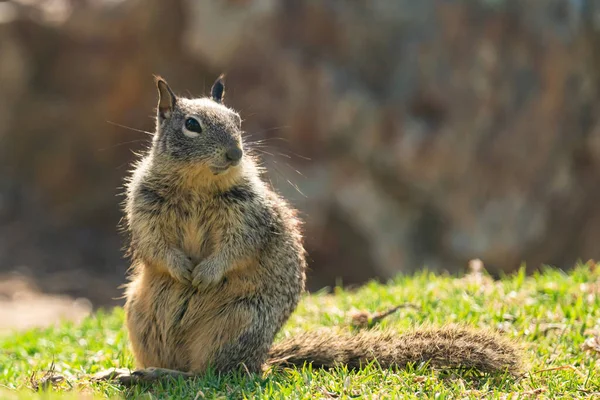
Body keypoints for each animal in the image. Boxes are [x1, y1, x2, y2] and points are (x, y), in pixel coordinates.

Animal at [92, 75, 520, 384]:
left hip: (236, 324)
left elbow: (238, 247)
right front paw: (182, 269)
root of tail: (263, 361)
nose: (235, 153)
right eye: (191, 125)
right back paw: (129, 372)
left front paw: (206, 274)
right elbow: (153, 244)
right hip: (139, 314)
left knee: (207, 375)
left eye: (237, 121)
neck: (198, 184)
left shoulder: (250, 215)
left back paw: (159, 375)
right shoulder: (144, 206)